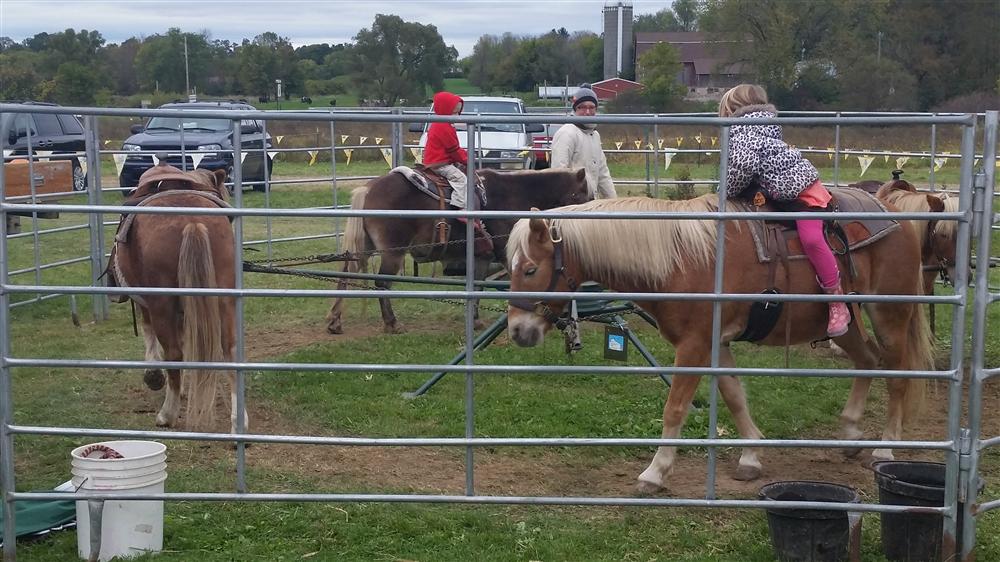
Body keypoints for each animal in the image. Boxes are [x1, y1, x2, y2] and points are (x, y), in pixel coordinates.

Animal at [107, 163, 246, 434]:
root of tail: (191, 220)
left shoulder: (149, 305)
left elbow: (150, 333)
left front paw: (154, 376)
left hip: (162, 304)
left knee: (173, 352)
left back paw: (167, 414)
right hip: (224, 300)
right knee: (230, 351)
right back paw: (238, 422)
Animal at [328, 165, 588, 332]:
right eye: (582, 196)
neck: (515, 194)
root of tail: (368, 189)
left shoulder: (481, 256)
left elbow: (478, 287)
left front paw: (475, 320)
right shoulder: (507, 253)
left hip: (364, 248)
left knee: (346, 274)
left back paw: (335, 321)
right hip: (393, 253)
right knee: (382, 283)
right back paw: (391, 323)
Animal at [504, 195, 932, 492]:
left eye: (531, 269)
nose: (517, 331)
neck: (679, 259)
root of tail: (896, 215)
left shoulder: (693, 347)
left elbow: (675, 408)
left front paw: (655, 472)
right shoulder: (715, 345)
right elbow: (734, 396)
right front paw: (751, 457)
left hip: (889, 316)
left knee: (897, 377)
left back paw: (884, 448)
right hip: (844, 325)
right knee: (868, 360)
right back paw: (850, 432)